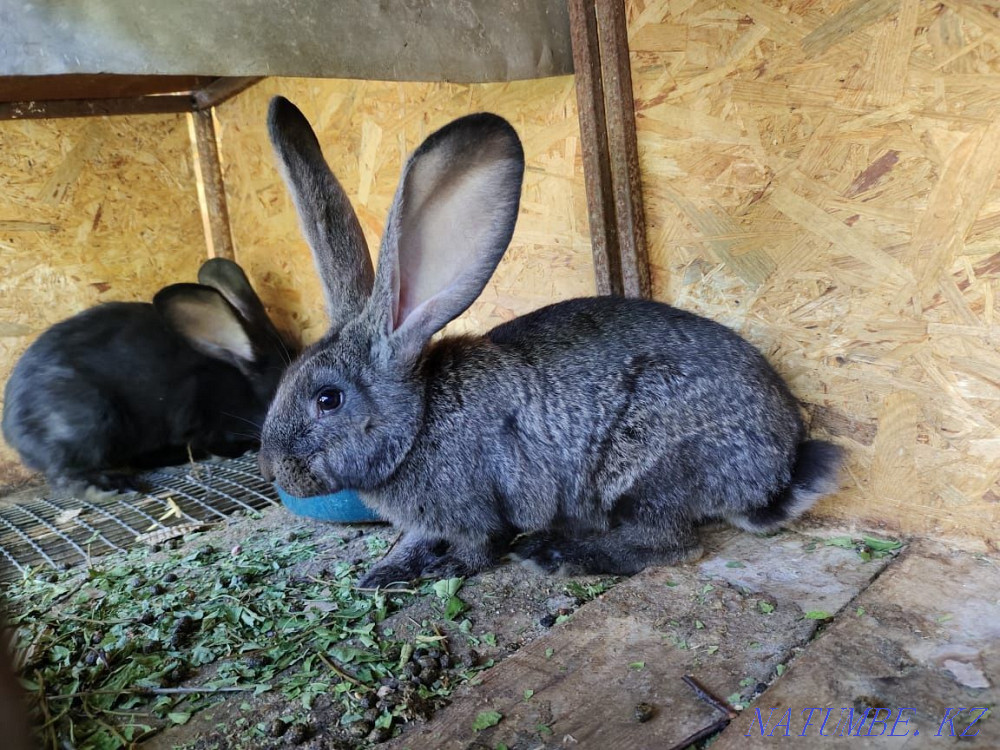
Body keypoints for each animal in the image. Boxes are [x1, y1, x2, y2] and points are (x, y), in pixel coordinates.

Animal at [257, 96, 843, 588]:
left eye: (327, 399)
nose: (271, 469)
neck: (419, 420)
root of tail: (778, 469)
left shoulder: (472, 508)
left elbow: (476, 548)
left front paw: (440, 569)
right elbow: (415, 541)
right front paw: (384, 571)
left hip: (648, 473)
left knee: (672, 545)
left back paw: (558, 553)